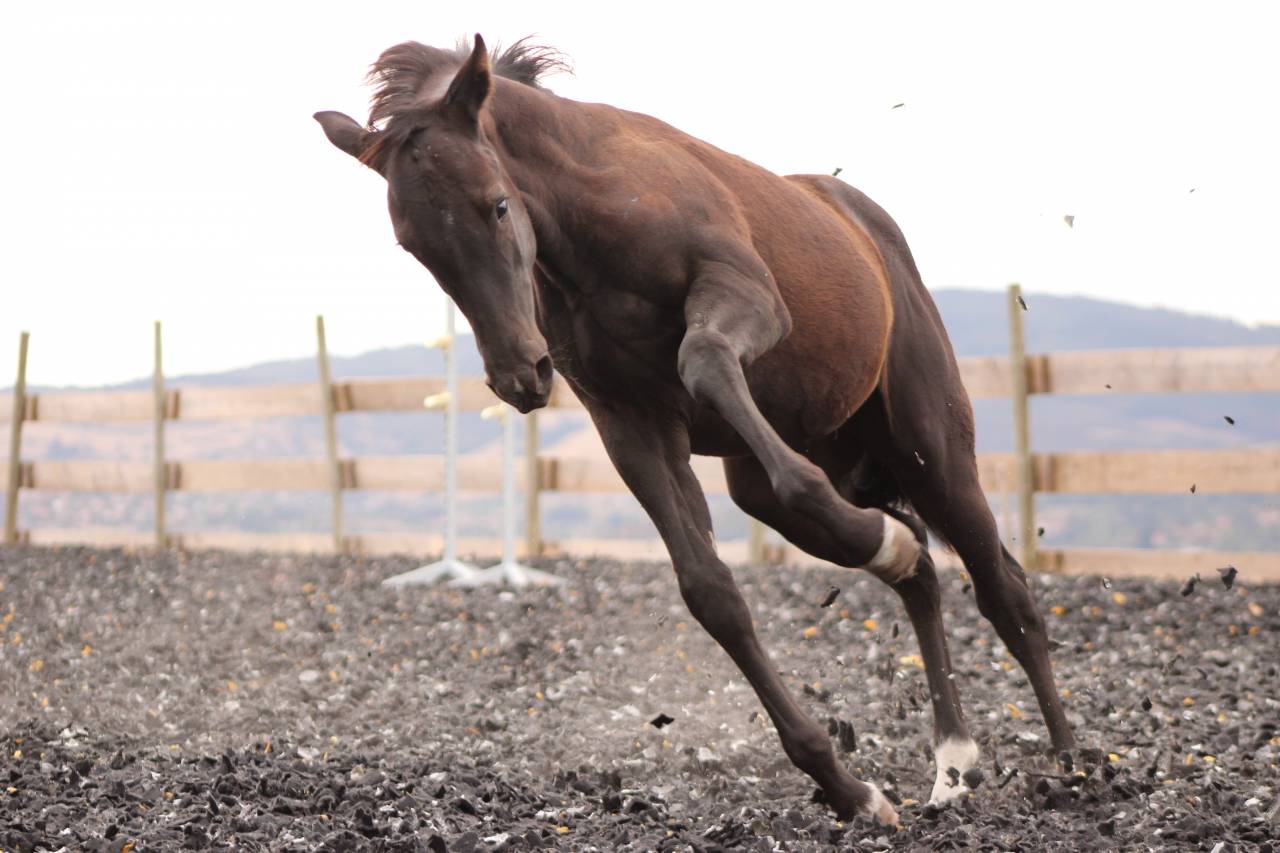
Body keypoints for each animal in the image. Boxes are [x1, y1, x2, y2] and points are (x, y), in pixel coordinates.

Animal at [315, 35, 1074, 826]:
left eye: (496, 205)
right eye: (414, 245)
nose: (519, 375)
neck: (589, 209)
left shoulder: (747, 298)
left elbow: (706, 360)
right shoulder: (632, 425)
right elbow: (711, 592)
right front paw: (848, 788)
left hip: (931, 446)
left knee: (1005, 590)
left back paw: (1070, 767)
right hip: (798, 470)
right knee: (921, 572)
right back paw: (951, 763)